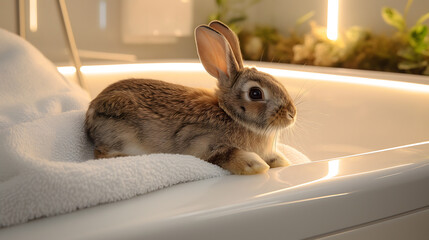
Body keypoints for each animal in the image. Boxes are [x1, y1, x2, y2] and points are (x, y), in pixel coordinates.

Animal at [85, 20, 296, 174]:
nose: (292, 114)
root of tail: (91, 111)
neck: (230, 115)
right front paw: (256, 165)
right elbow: (227, 154)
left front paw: (283, 162)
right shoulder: (202, 143)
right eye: (255, 93)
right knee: (101, 155)